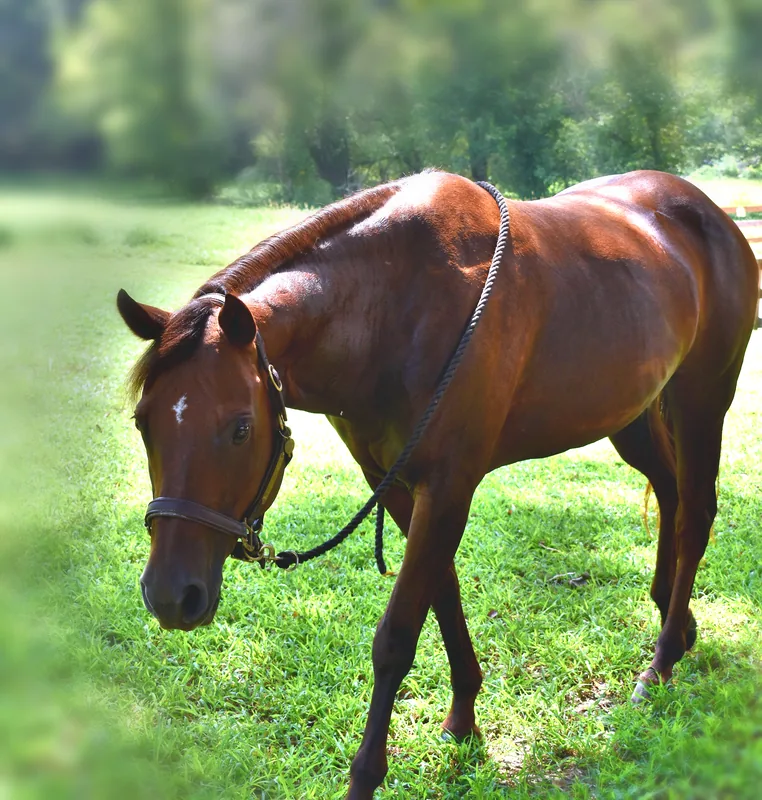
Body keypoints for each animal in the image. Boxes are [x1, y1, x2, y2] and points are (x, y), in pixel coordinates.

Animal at [117, 170, 758, 799]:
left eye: (240, 428)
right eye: (143, 422)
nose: (171, 596)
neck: (392, 305)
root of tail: (711, 213)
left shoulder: (449, 485)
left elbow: (398, 633)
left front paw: (367, 775)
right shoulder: (398, 484)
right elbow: (443, 598)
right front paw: (464, 720)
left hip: (701, 399)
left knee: (696, 513)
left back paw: (663, 659)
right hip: (634, 412)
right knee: (672, 496)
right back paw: (675, 619)